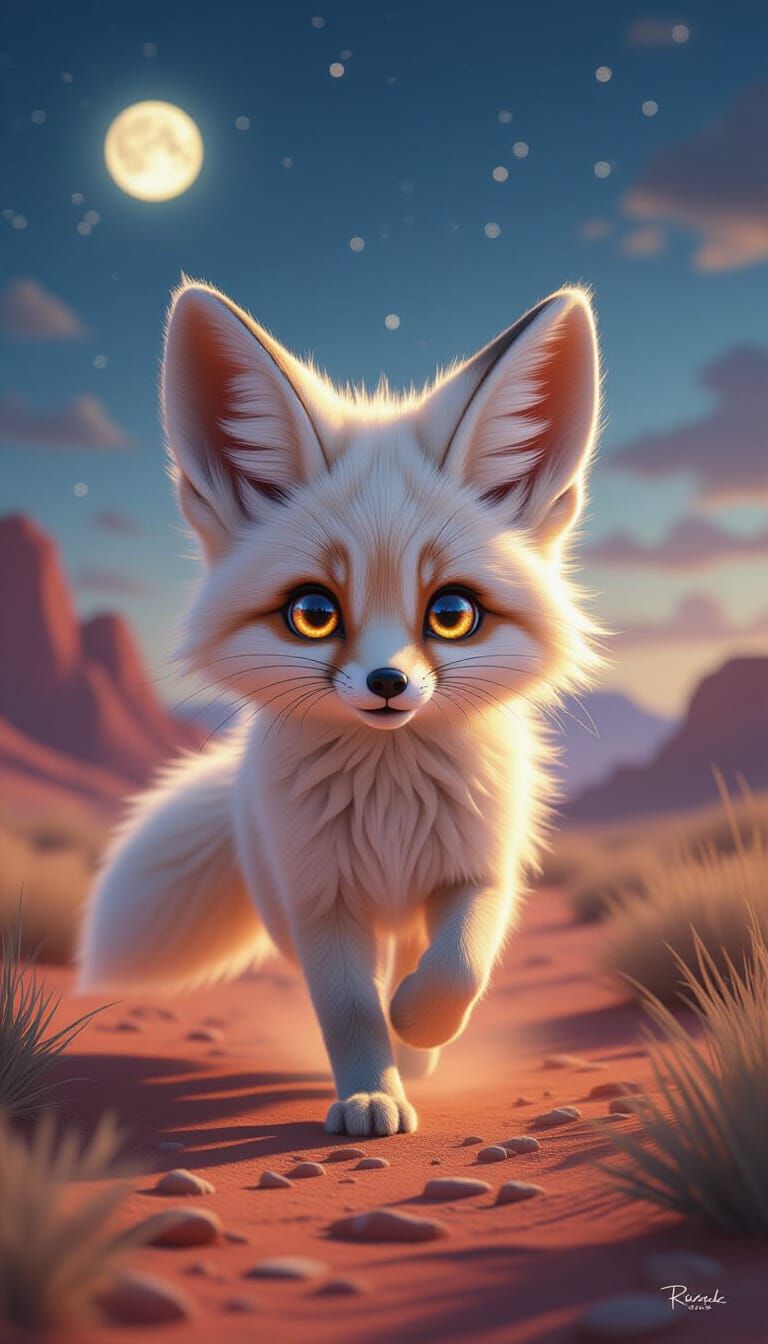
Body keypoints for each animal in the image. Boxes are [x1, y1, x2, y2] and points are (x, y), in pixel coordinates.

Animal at [78, 279, 601, 1137]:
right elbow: (351, 1009)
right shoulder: (322, 899)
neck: (389, 803)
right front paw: (369, 1094)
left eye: (452, 613)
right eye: (314, 614)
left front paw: (416, 1031)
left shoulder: (479, 871)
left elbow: (457, 970)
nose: (387, 684)